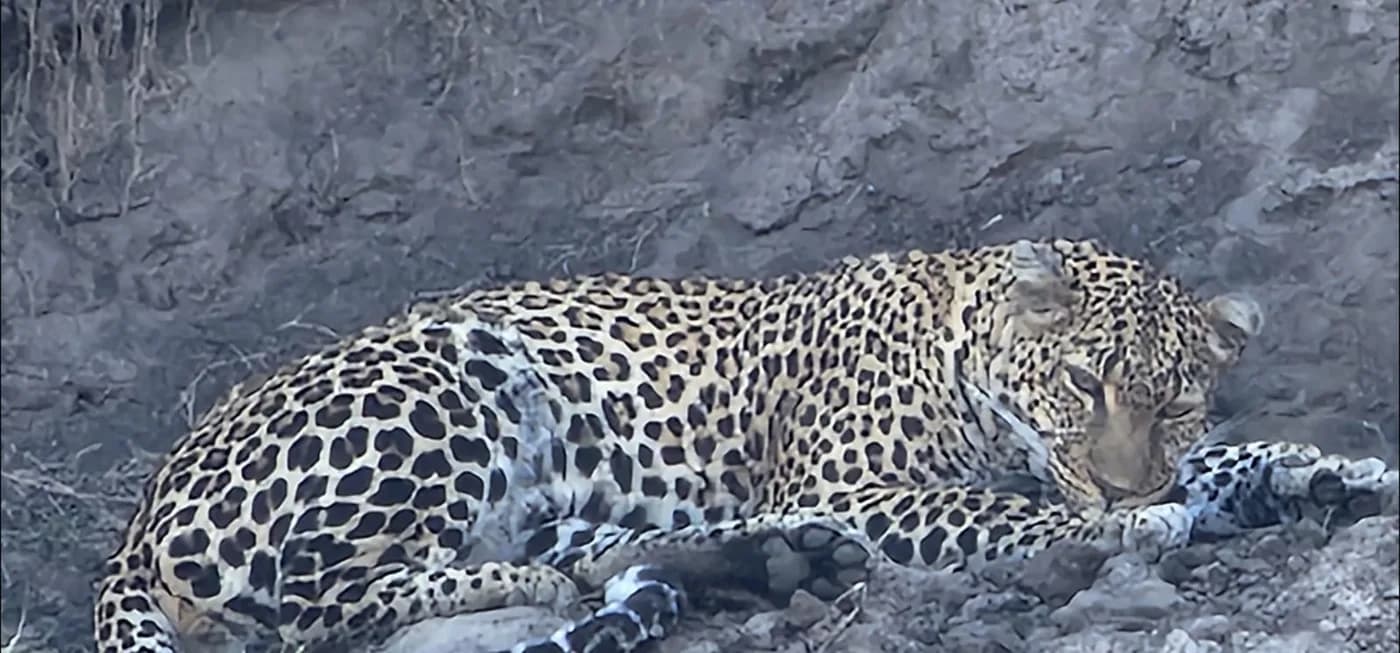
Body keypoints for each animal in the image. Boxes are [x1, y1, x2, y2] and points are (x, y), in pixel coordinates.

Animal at [93, 238, 1398, 653]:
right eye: (1082, 381)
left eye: (1172, 403)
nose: (1129, 477)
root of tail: (141, 509)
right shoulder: (860, 478)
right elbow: (1004, 509)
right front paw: (1133, 518)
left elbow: (1225, 465)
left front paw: (1335, 472)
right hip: (446, 375)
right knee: (314, 599)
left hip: (548, 487)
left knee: (600, 549)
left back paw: (758, 562)